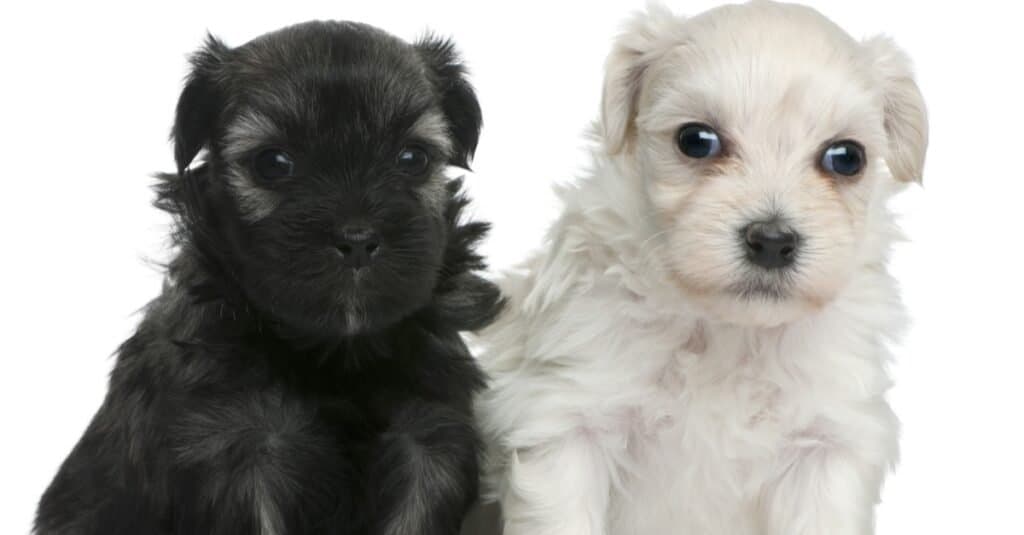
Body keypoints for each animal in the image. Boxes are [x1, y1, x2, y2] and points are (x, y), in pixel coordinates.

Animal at [37, 20, 501, 532]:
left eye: (412, 158)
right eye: (273, 164)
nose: (357, 238)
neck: (335, 350)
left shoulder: (428, 442)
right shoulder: (239, 449)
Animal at [471, 2, 929, 528]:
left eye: (846, 157)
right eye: (697, 141)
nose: (772, 241)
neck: (727, 331)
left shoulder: (827, 446)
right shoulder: (569, 421)